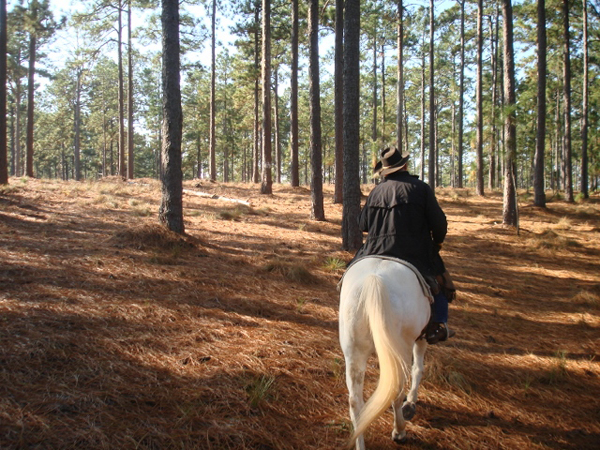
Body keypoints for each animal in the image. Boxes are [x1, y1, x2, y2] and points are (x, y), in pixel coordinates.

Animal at [338, 256, 432, 450]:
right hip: (402, 349)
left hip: (354, 354)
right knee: (397, 390)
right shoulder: (422, 337)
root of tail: (374, 280)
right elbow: (418, 368)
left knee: (355, 402)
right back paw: (399, 431)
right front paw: (411, 401)